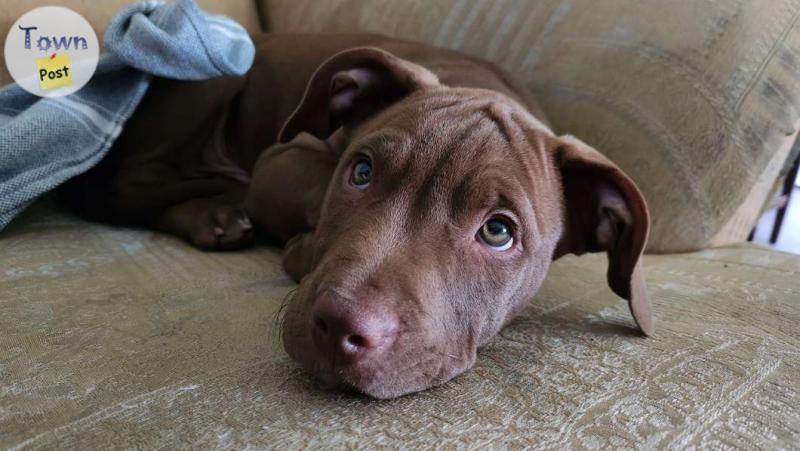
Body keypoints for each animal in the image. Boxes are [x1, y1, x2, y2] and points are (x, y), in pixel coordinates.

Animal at [59, 31, 652, 400]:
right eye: (361, 172)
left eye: (498, 231)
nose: (340, 326)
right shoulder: (283, 155)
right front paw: (300, 243)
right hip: (216, 69)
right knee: (129, 183)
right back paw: (218, 210)